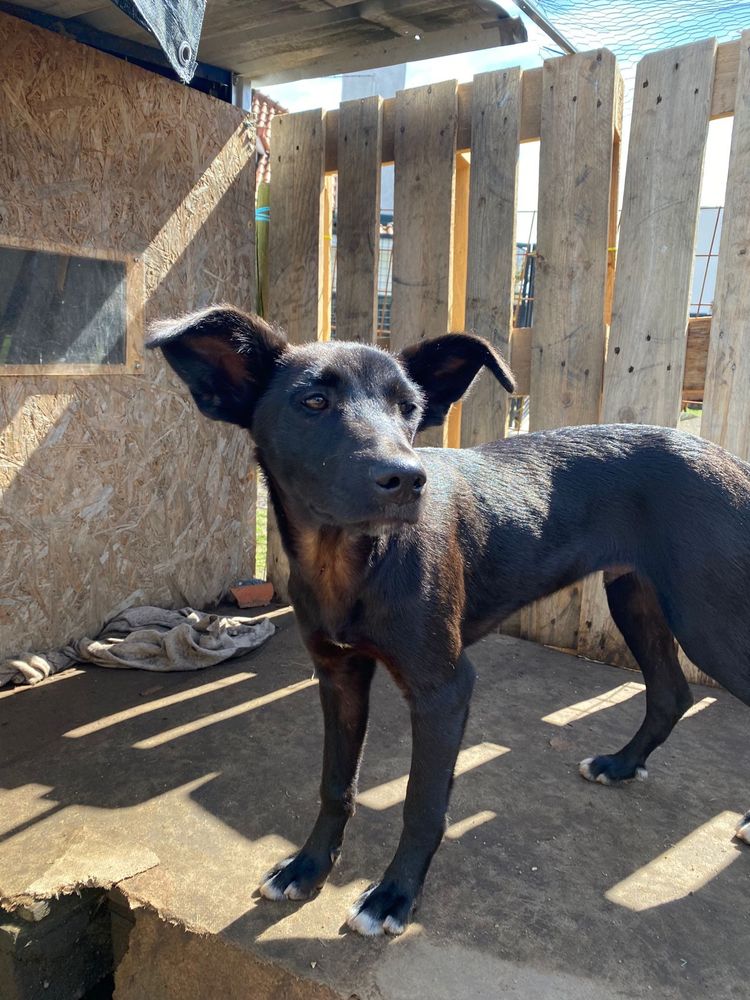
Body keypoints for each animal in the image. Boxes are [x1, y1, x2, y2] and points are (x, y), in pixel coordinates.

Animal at [150, 306, 750, 936]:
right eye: (313, 401)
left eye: (408, 408)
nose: (407, 479)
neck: (352, 558)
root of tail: (728, 459)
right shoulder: (338, 676)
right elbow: (336, 784)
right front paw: (309, 866)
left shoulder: (444, 688)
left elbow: (422, 803)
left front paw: (393, 895)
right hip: (637, 596)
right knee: (671, 691)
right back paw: (622, 763)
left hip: (709, 618)